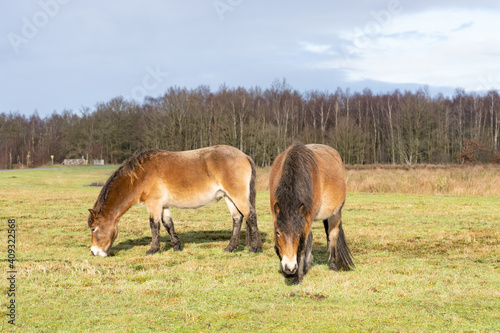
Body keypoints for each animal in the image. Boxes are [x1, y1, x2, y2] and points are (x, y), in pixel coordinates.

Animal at [88, 144, 264, 255]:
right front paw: (177, 247)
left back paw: (254, 248)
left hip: (237, 195)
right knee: (237, 218)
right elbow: (168, 224)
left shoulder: (154, 204)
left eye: (93, 228)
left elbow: (154, 225)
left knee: (250, 216)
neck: (141, 175)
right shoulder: (163, 205)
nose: (94, 252)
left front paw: (153, 249)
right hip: (228, 196)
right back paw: (230, 248)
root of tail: (244, 156)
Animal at [270, 141, 356, 284]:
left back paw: (332, 265)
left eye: (298, 234)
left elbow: (302, 247)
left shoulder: (307, 219)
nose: (290, 268)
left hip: (335, 214)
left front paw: (297, 277)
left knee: (332, 235)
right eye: (277, 233)